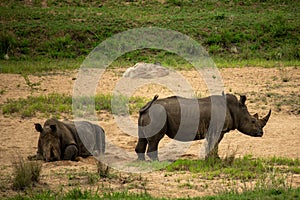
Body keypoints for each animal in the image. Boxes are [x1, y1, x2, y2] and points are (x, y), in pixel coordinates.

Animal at [135, 94, 270, 161]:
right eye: (253, 121)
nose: (261, 133)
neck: (236, 109)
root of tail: (146, 106)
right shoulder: (219, 130)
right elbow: (215, 144)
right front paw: (216, 159)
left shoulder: (213, 130)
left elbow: (212, 144)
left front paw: (212, 158)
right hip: (157, 114)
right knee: (155, 139)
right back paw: (157, 162)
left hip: (149, 114)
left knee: (142, 138)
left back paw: (142, 162)